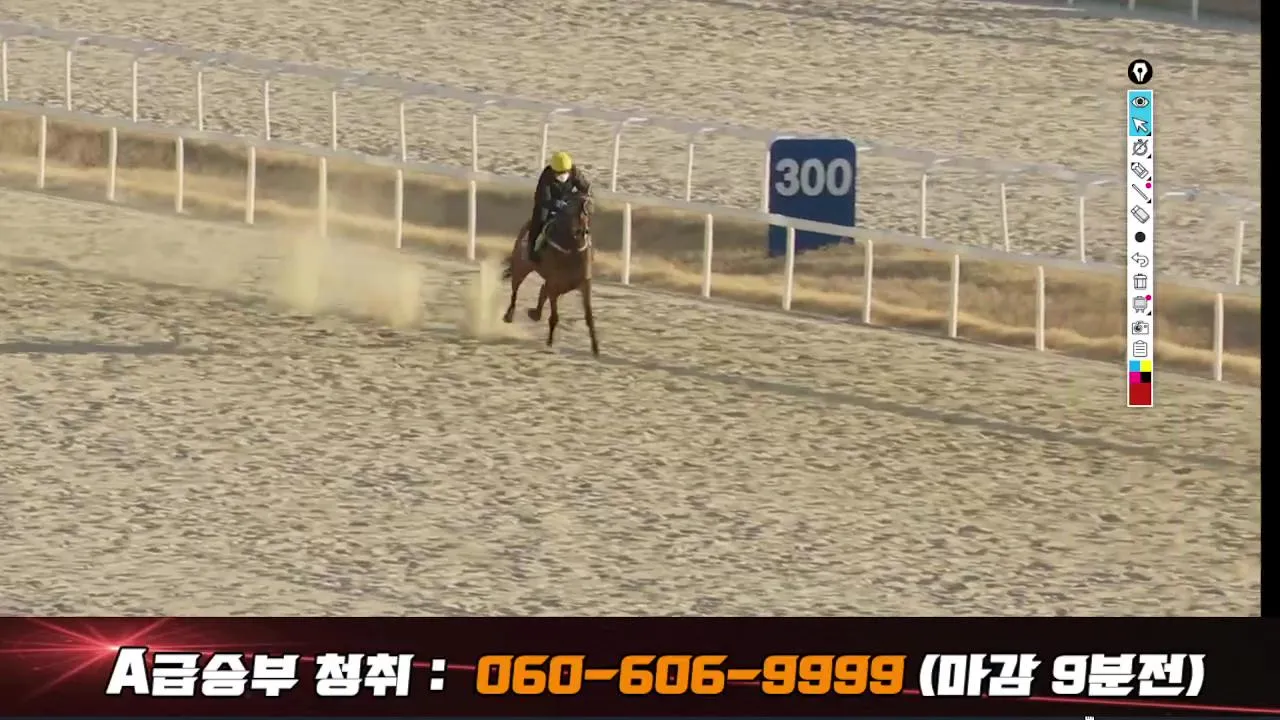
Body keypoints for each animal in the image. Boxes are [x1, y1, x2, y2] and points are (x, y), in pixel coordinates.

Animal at [502, 192, 600, 356]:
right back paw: (509, 315)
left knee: (542, 290)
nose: (583, 232)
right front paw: (549, 342)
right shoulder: (555, 284)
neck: (572, 250)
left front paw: (596, 348)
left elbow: (589, 317)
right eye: (574, 211)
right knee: (515, 289)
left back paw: (534, 313)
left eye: (590, 210)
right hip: (521, 267)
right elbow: (554, 316)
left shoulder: (584, 284)